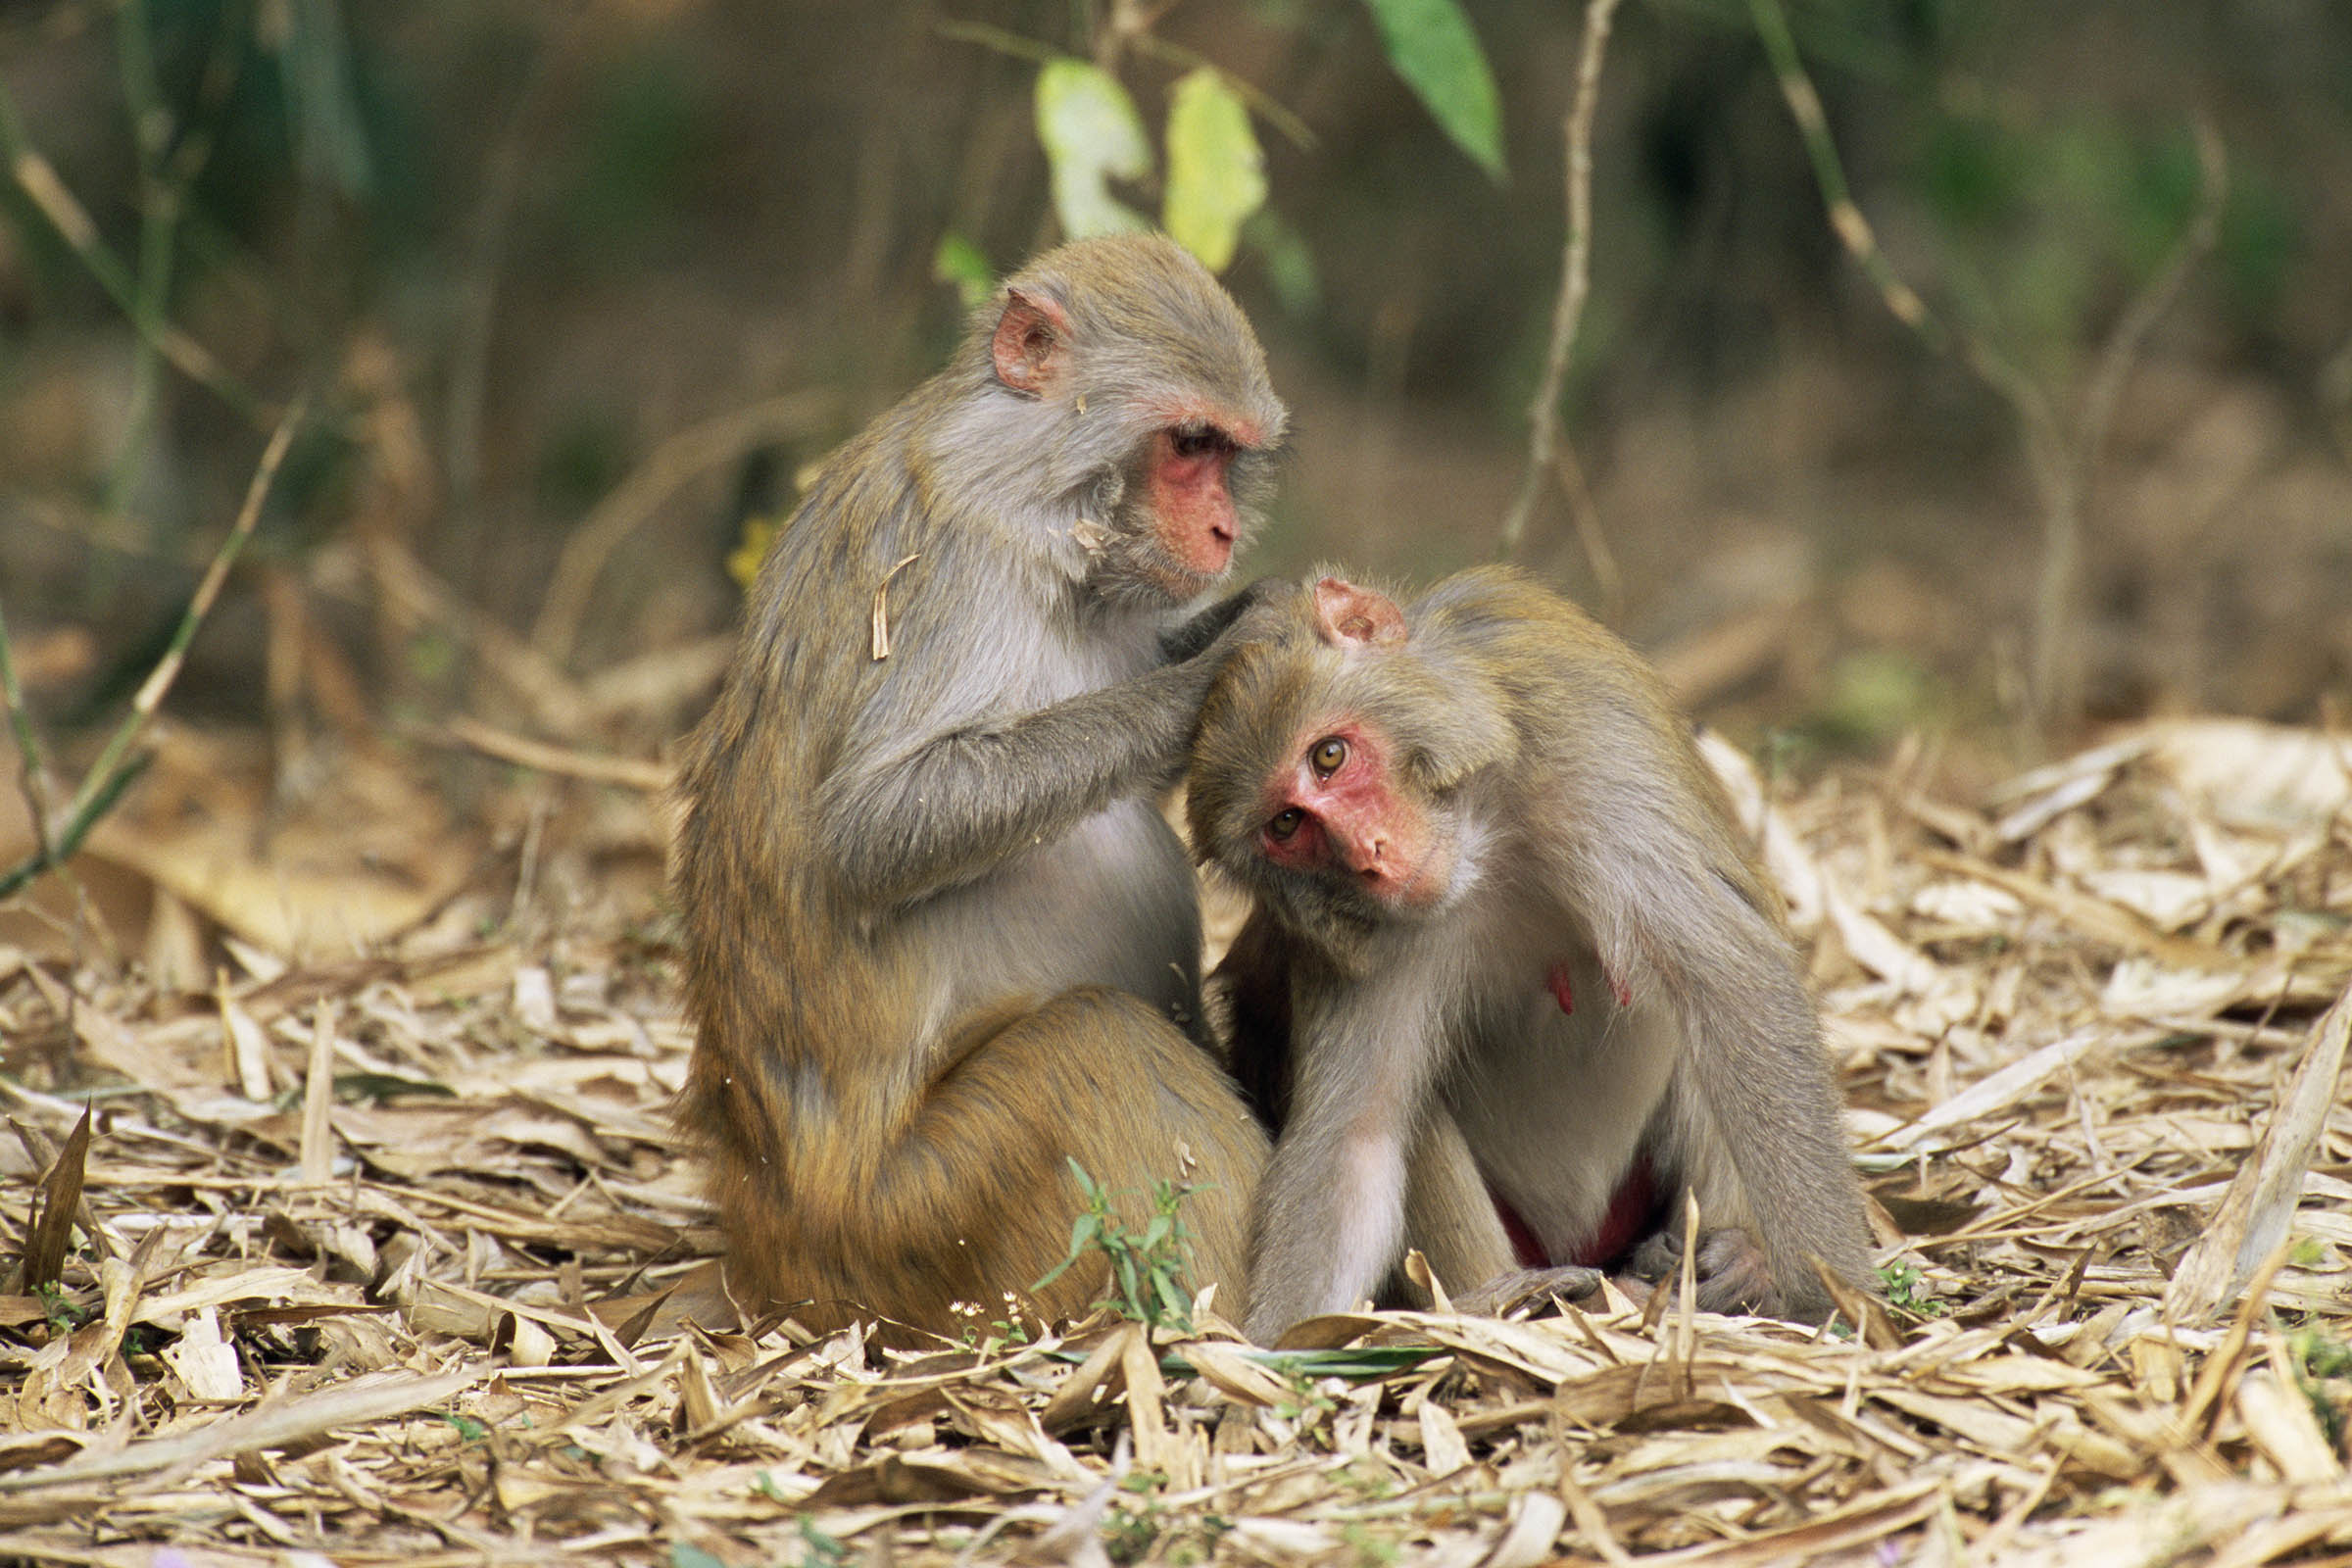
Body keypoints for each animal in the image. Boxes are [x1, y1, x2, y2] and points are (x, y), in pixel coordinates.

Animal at [672, 232, 1298, 1335]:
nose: (1225, 532)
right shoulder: (954, 563)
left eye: (1227, 454)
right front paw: (1223, 666)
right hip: (918, 1215)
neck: (1030, 474)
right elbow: (875, 830)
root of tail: (770, 1239)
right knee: (1097, 1042)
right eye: (1188, 443)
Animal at [1185, 570, 1882, 1345]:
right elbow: (1356, 1138)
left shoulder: (1590, 750)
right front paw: (1273, 1352)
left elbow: (1736, 988)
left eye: (1328, 757)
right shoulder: (1358, 940)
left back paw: (1731, 1263)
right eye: (1287, 825)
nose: (1370, 856)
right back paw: (1517, 1303)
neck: (1484, 832)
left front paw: (1833, 1297)